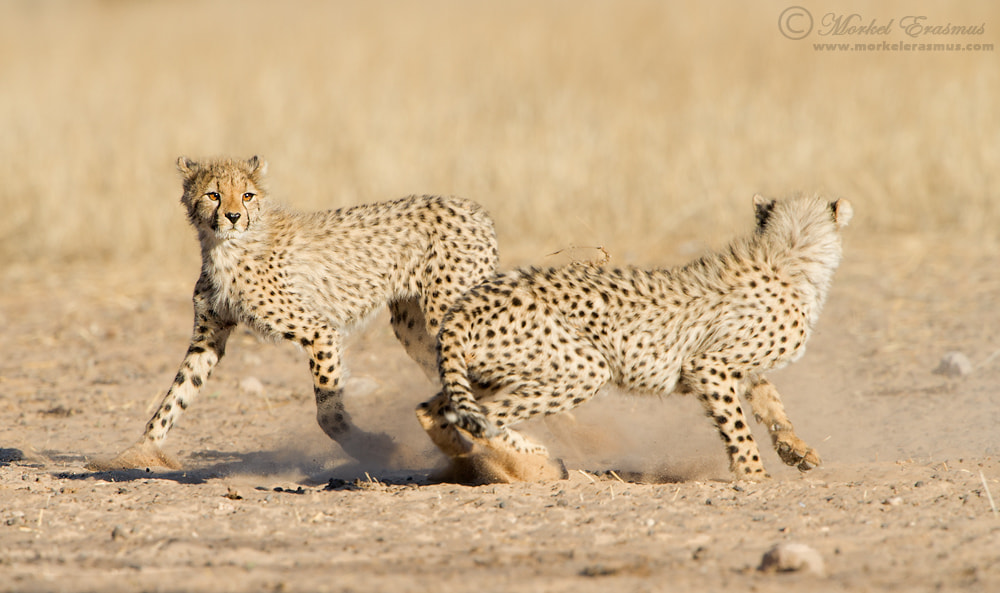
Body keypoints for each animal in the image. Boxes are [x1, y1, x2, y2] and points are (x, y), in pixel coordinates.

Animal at [89, 156, 498, 471]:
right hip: (413, 327)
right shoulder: (208, 338)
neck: (227, 247)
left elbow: (328, 415)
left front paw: (378, 448)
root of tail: (473, 207)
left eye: (248, 195)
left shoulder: (319, 331)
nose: (233, 216)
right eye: (213, 195)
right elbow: (174, 397)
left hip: (443, 313)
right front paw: (135, 453)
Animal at [417, 194, 852, 483]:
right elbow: (738, 427)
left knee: (437, 410)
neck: (789, 255)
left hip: (486, 371)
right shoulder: (709, 366)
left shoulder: (737, 367)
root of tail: (467, 302)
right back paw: (536, 463)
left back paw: (463, 457)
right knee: (483, 419)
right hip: (581, 370)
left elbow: (771, 403)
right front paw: (753, 474)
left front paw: (795, 448)